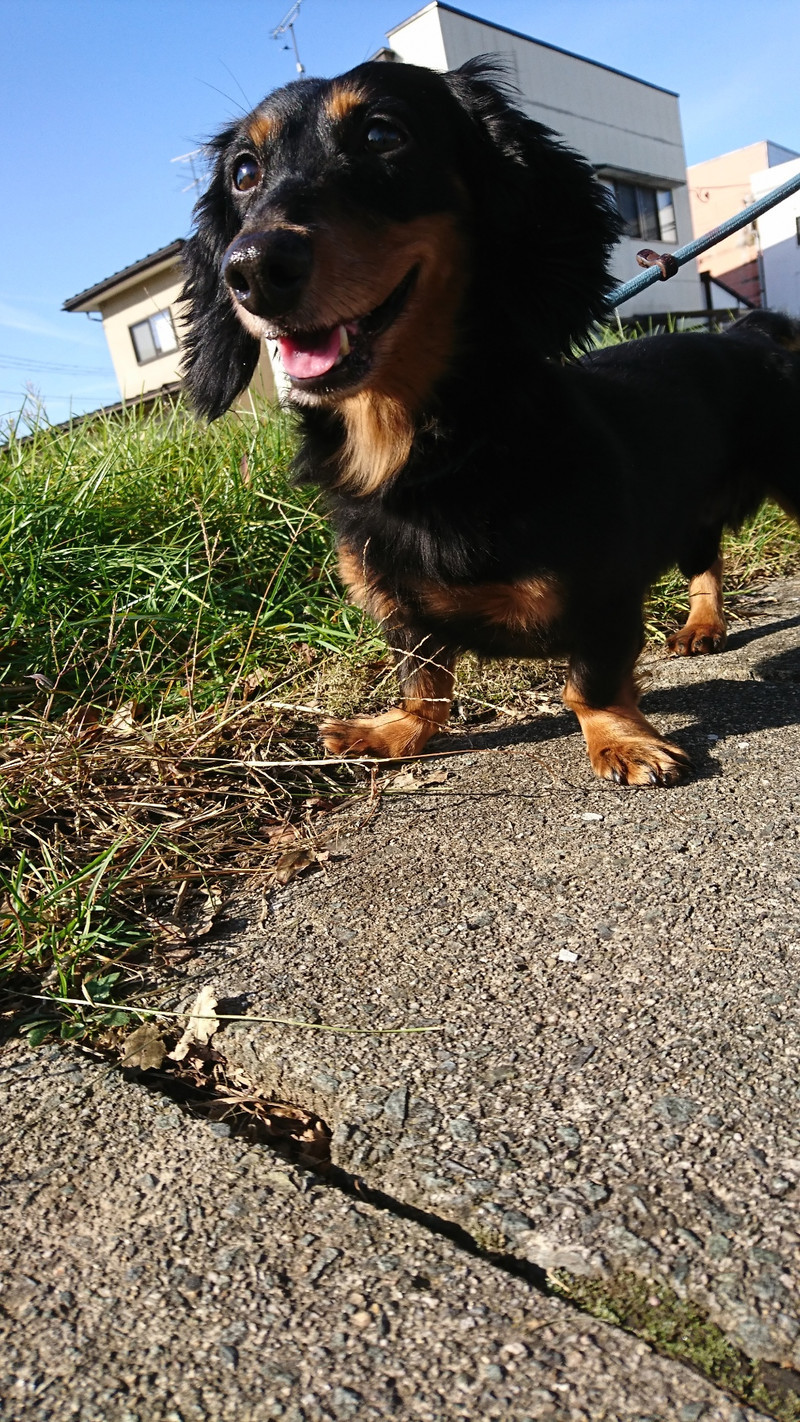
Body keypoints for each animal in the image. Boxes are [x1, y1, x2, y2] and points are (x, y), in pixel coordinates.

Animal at [181, 58, 800, 785]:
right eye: (244, 172)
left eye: (383, 134)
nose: (251, 270)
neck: (423, 453)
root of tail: (745, 331)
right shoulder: (399, 605)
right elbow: (425, 682)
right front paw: (395, 730)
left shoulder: (606, 594)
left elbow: (588, 684)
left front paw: (621, 740)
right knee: (705, 560)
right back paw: (704, 624)